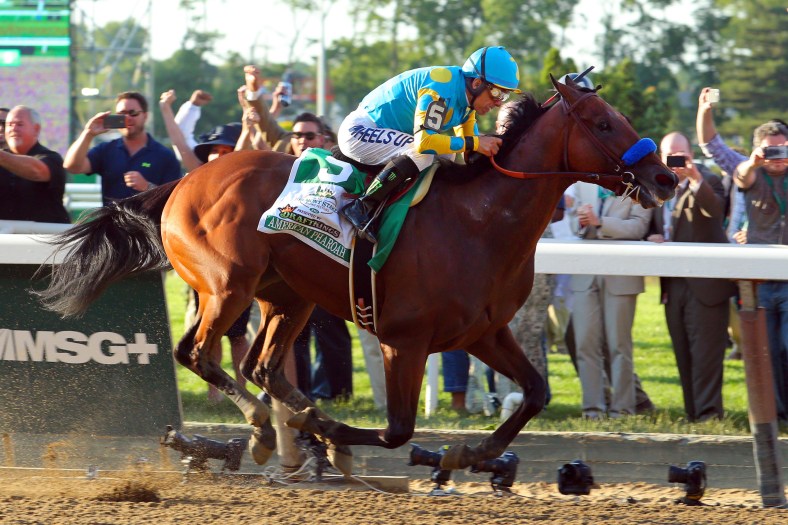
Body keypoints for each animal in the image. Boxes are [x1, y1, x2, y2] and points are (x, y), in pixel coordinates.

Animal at [35, 75, 676, 472]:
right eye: (601, 123)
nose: (666, 177)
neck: (480, 223)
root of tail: (185, 178)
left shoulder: (482, 333)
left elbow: (535, 392)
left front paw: (466, 455)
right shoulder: (404, 341)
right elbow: (398, 430)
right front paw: (337, 434)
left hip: (287, 296)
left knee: (261, 366)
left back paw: (290, 424)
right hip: (227, 286)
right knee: (198, 353)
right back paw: (266, 427)